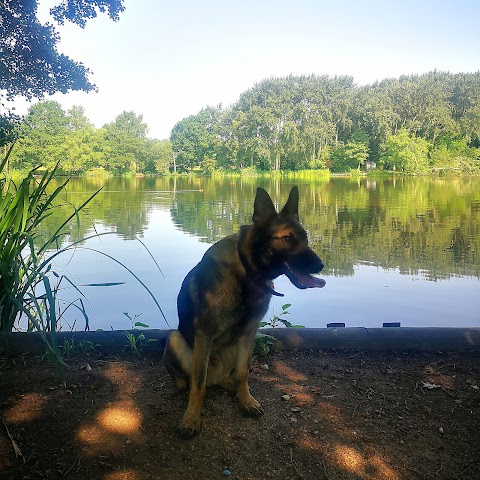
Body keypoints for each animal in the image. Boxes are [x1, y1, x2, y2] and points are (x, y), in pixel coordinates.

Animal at [163, 185, 324, 438]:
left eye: (305, 237)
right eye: (287, 238)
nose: (320, 266)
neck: (247, 272)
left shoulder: (250, 331)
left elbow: (242, 373)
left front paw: (246, 400)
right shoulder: (205, 333)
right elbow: (198, 384)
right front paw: (191, 418)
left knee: (228, 377)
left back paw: (230, 387)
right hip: (175, 339)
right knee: (192, 382)